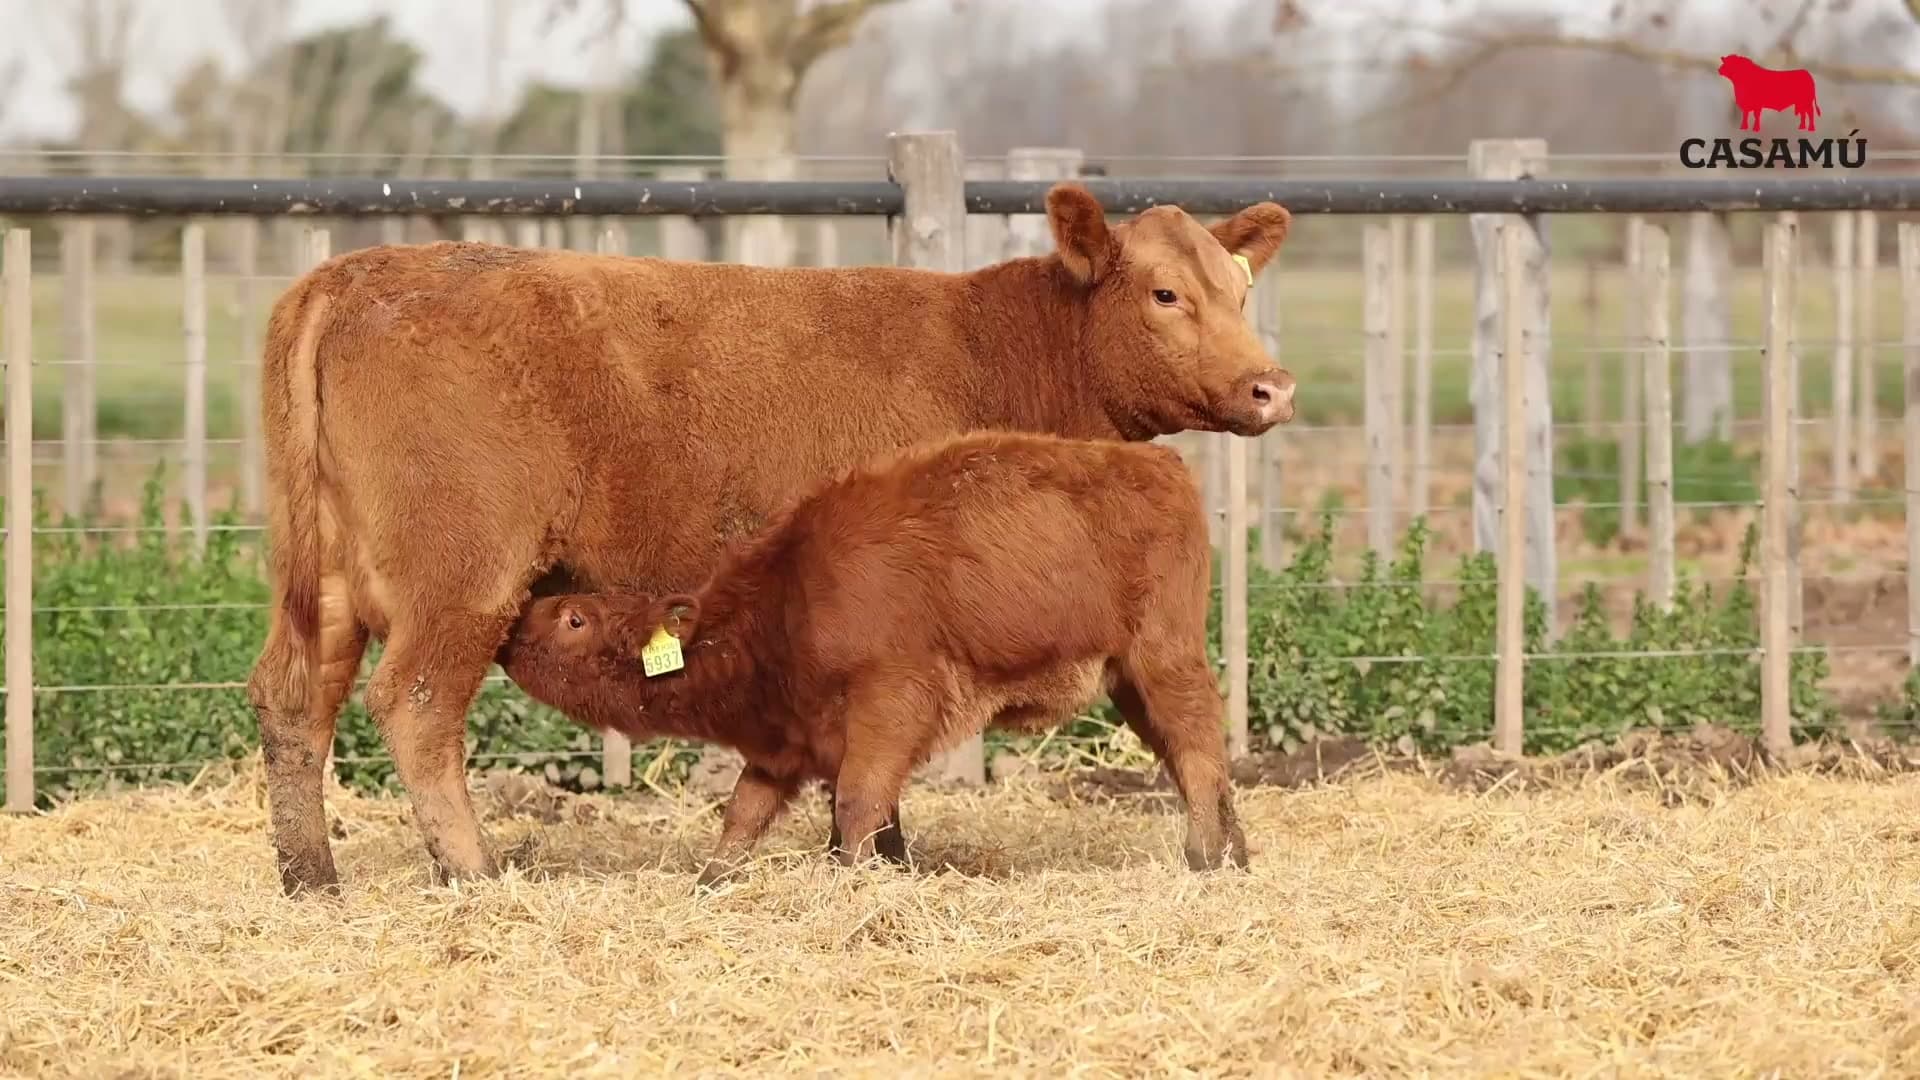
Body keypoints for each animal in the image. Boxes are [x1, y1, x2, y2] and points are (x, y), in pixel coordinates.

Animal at [495, 430, 1249, 886]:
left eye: (573, 616)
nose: (508, 625)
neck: (789, 597)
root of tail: (1161, 465)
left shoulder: (892, 706)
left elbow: (859, 807)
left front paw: (850, 887)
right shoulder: (785, 745)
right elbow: (743, 816)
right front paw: (711, 884)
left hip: (1162, 662)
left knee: (1198, 750)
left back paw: (1204, 857)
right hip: (1129, 683)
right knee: (1193, 759)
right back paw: (1236, 856)